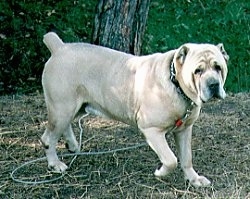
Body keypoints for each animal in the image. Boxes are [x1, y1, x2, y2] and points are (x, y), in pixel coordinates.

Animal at [41, 32, 229, 187]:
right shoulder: (152, 130)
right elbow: (171, 159)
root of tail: (59, 47)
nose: (213, 84)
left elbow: (186, 157)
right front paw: (160, 173)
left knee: (63, 127)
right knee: (48, 138)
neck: (175, 81)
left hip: (75, 107)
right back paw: (55, 164)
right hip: (62, 108)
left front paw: (194, 179)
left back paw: (72, 145)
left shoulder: (184, 130)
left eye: (218, 67)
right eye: (197, 71)